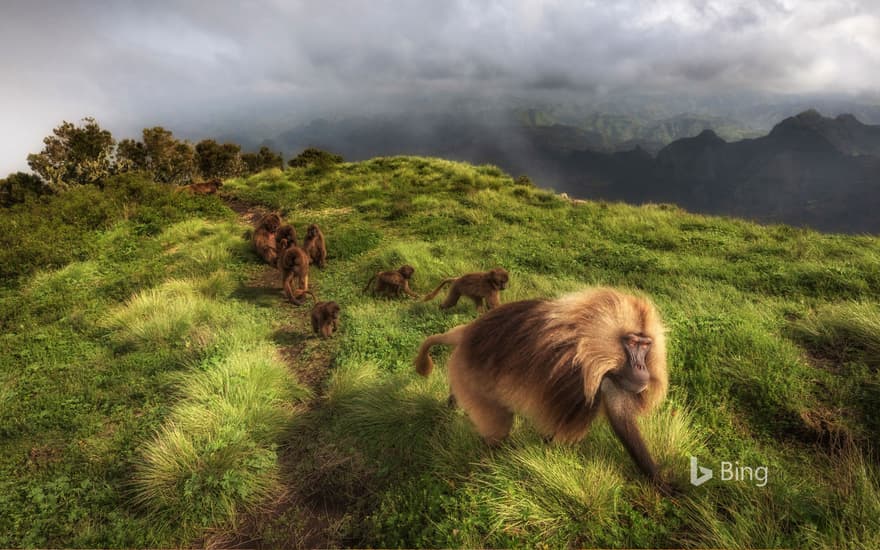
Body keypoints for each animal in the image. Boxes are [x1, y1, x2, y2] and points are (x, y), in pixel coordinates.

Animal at [416, 288, 672, 492]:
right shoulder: (574, 377)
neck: (588, 342)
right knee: (497, 431)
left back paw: (449, 407)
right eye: (632, 343)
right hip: (471, 376)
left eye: (646, 345)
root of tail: (468, 331)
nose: (641, 368)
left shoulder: (610, 376)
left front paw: (660, 481)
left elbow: (620, 415)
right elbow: (556, 433)